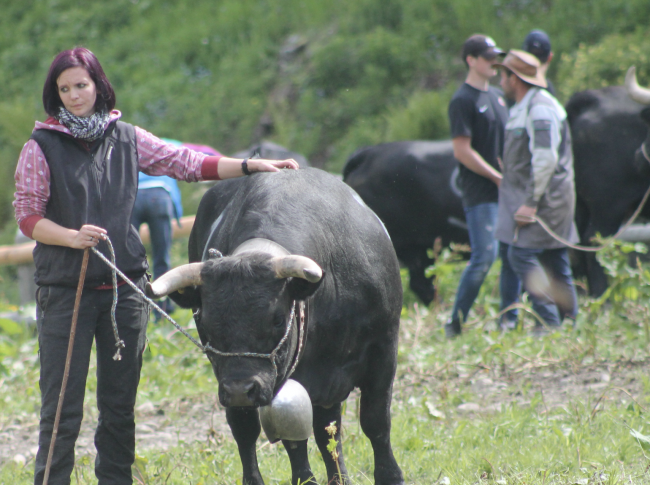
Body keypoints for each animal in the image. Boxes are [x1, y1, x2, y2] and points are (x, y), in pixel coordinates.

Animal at [147, 167, 402, 484]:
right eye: (205, 325)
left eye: (277, 319)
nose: (240, 389)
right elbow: (293, 437)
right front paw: (305, 480)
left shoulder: (384, 348)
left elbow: (375, 422)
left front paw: (391, 475)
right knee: (248, 429)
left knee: (327, 429)